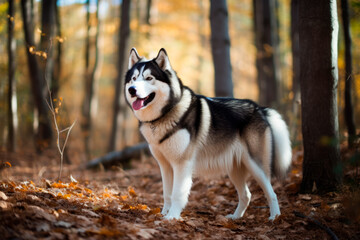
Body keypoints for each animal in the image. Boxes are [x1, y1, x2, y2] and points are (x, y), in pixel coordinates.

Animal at [125, 47, 292, 220]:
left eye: (149, 78)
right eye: (134, 79)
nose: (132, 90)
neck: (164, 114)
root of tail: (260, 108)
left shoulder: (182, 164)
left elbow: (177, 194)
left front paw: (172, 217)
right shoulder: (165, 166)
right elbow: (167, 194)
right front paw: (163, 214)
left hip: (256, 166)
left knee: (272, 193)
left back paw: (275, 217)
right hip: (235, 170)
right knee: (246, 195)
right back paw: (235, 217)